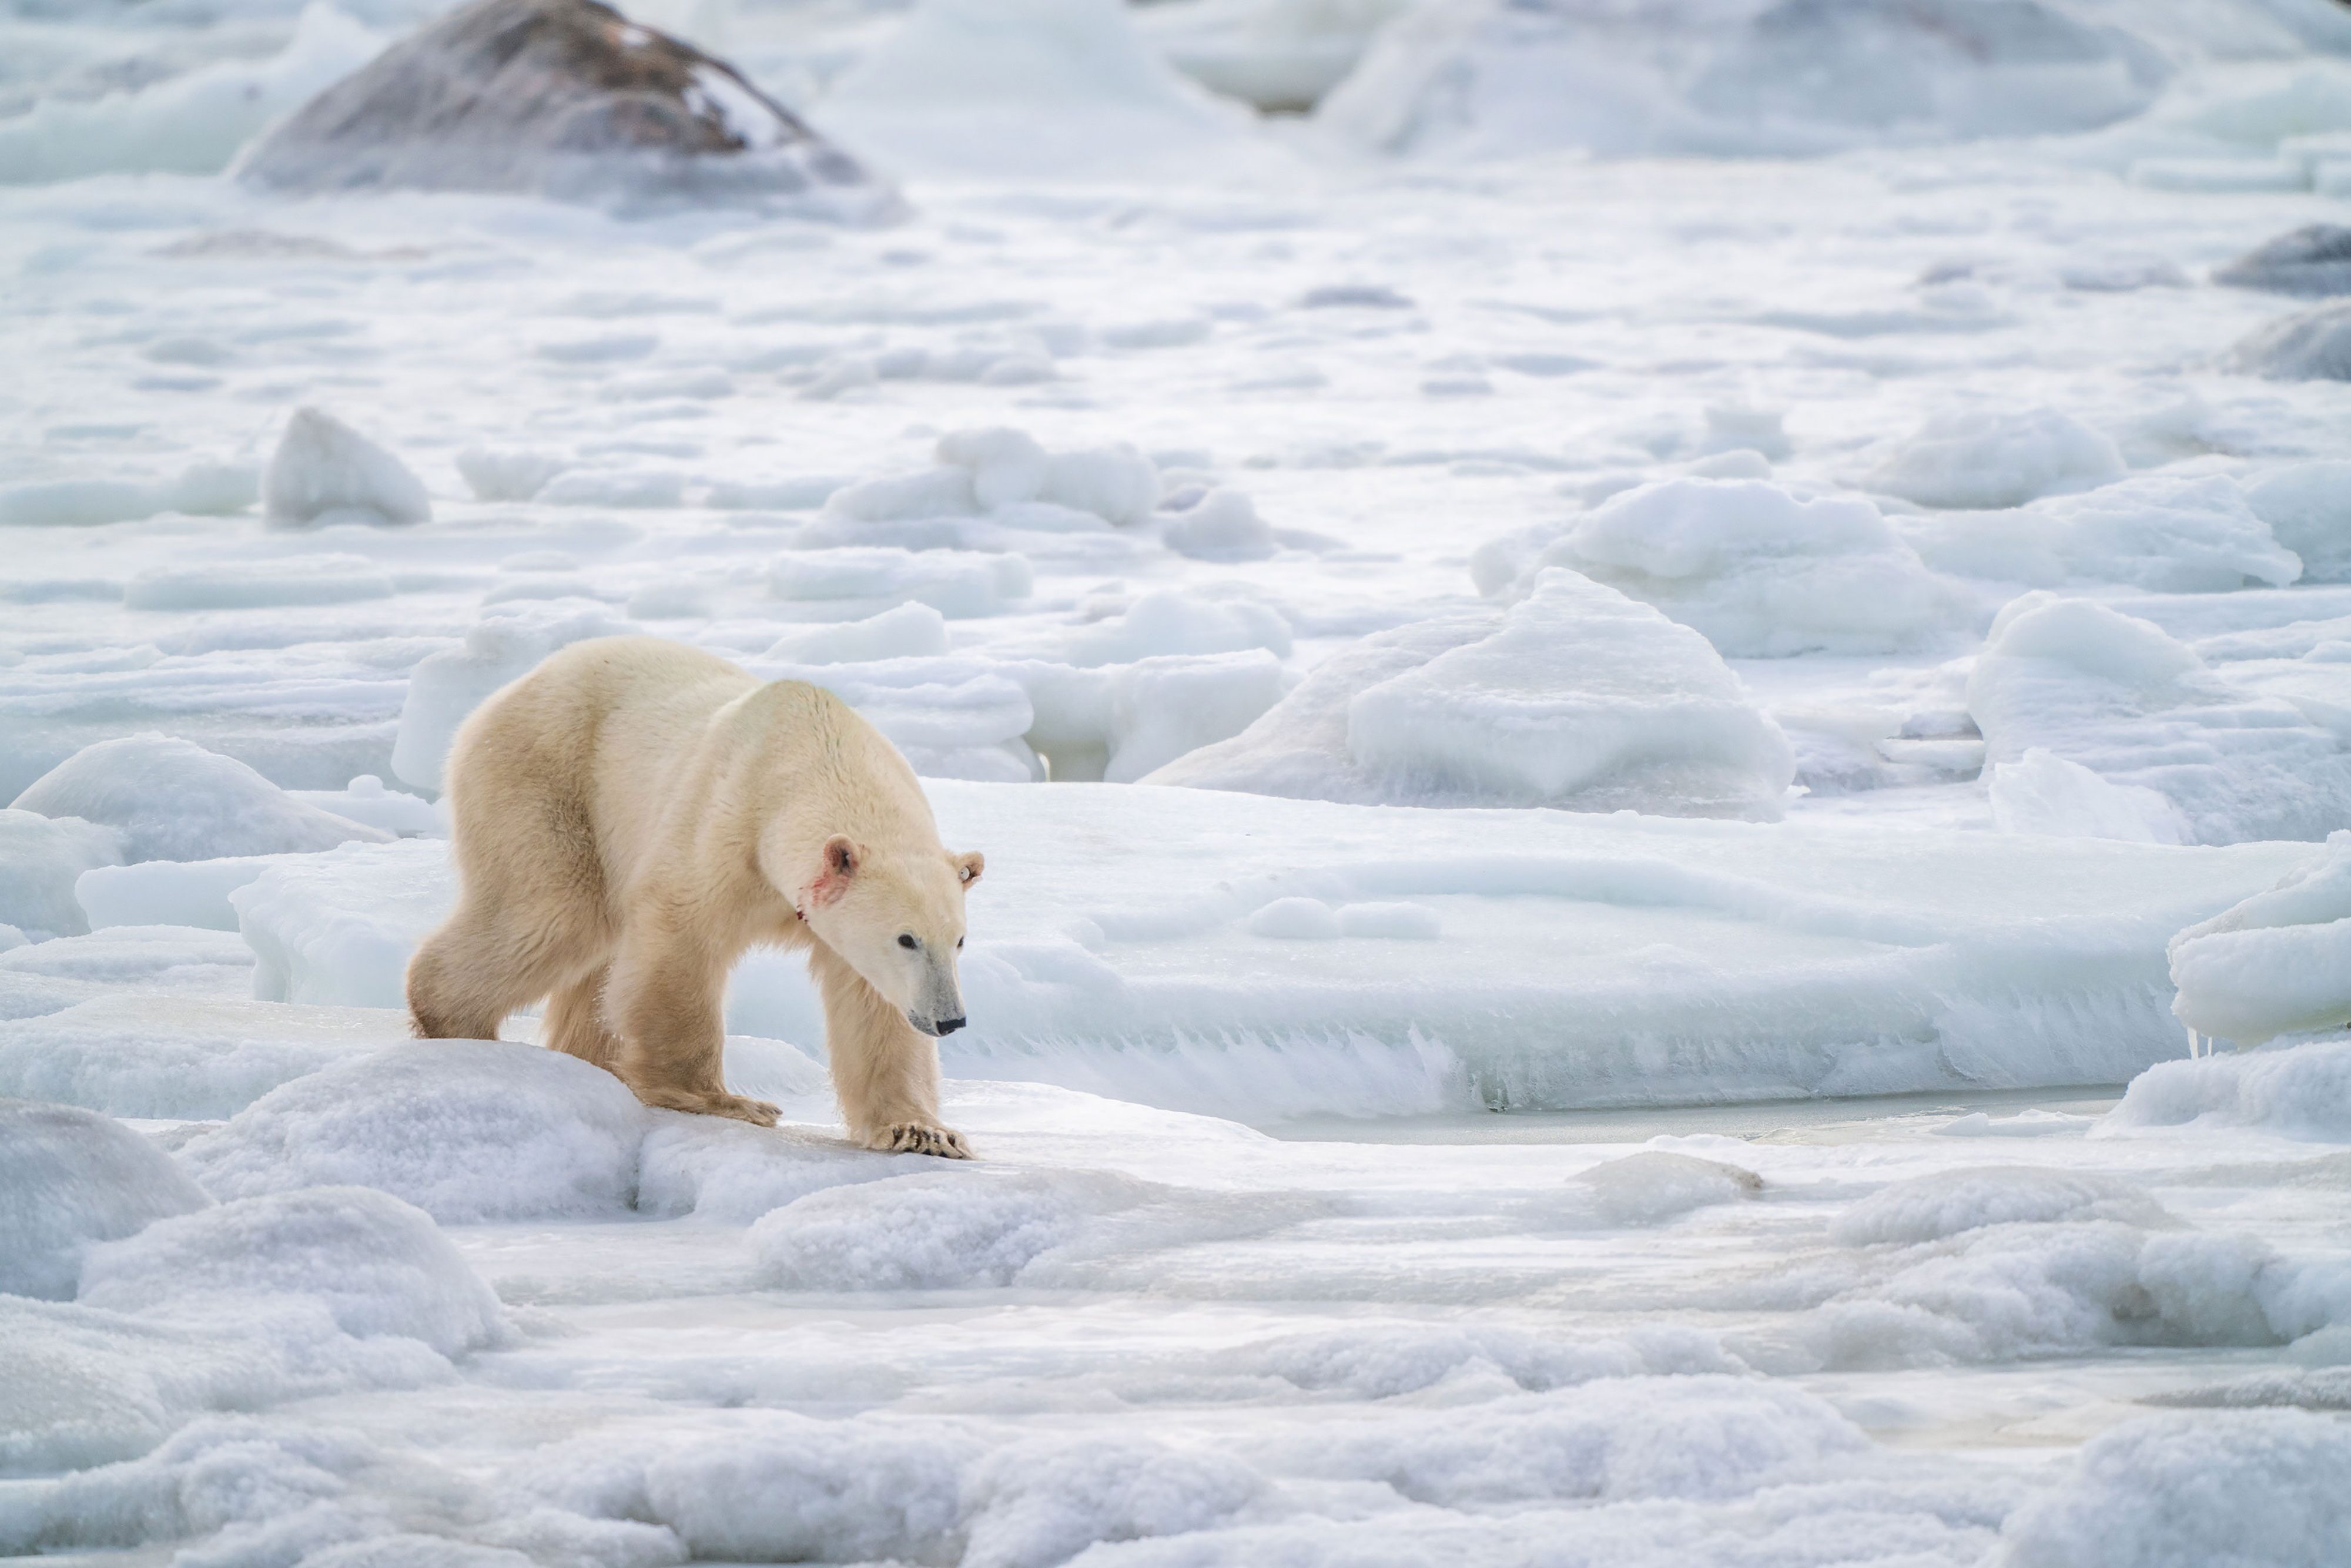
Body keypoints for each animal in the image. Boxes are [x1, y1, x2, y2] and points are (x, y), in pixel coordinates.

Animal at [404, 630, 983, 1161]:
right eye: (906, 939)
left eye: (958, 941)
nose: (951, 1020)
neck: (811, 751)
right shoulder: (723, 829)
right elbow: (679, 944)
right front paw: (728, 1101)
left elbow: (875, 1005)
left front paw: (924, 1132)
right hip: (547, 778)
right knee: (557, 913)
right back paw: (458, 1025)